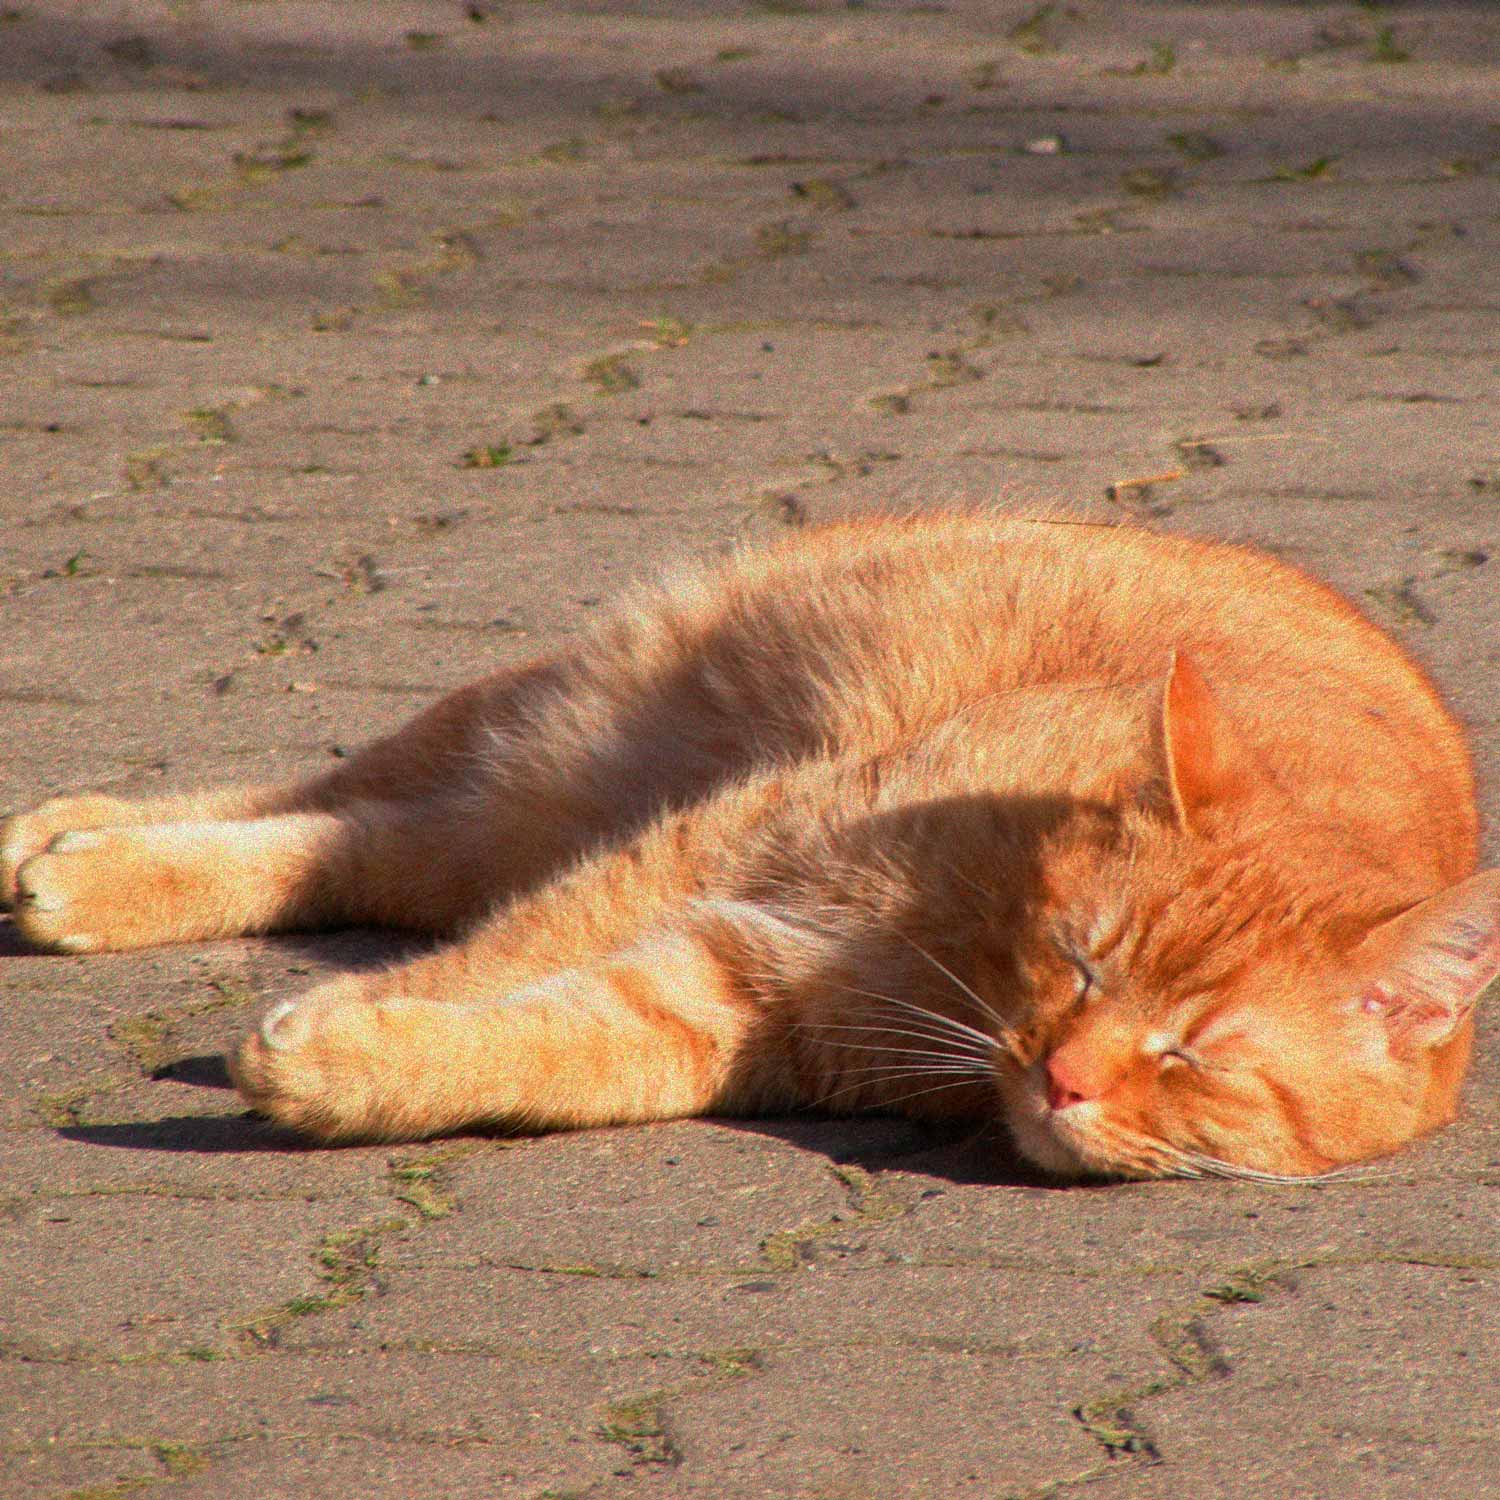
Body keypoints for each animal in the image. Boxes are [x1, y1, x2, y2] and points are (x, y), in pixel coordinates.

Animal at [2, 510, 1500, 1176]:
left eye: (1194, 1054)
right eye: (1083, 963)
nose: (1064, 1077)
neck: (974, 959)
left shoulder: (744, 1000)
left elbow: (560, 1044)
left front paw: (361, 1067)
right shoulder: (722, 848)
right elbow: (506, 955)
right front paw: (353, 1023)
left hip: (527, 805)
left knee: (364, 840)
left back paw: (74, 860)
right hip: (561, 749)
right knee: (332, 799)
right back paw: (81, 848)